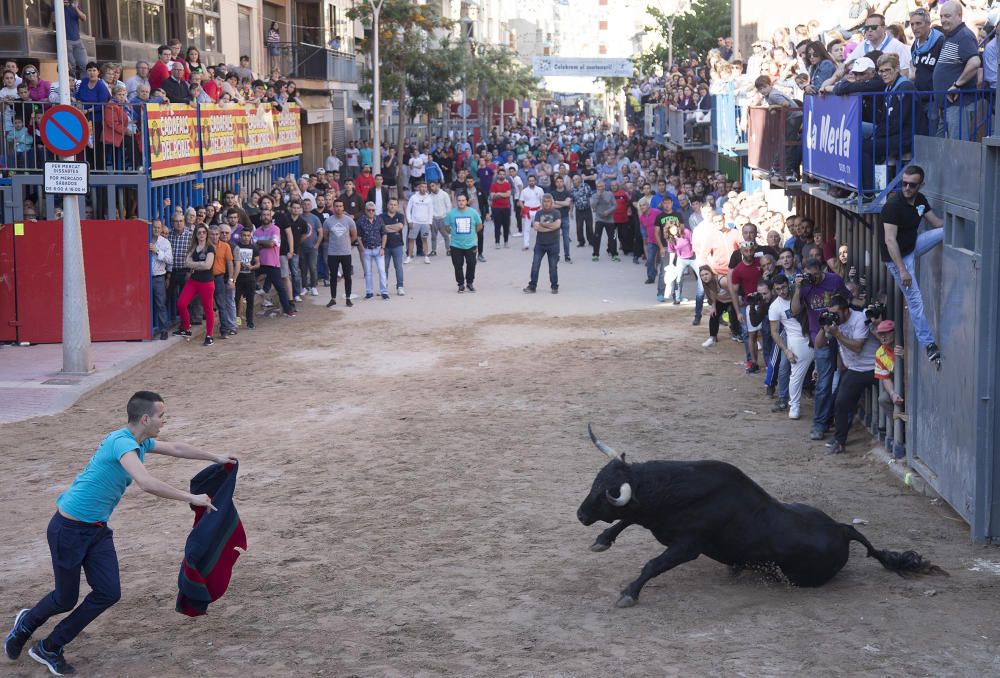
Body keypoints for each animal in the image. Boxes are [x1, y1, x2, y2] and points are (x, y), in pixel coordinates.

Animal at [580, 428, 944, 608]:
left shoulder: (687, 546)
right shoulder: (652, 518)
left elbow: (652, 564)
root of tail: (842, 530)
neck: (675, 491)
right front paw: (601, 541)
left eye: (604, 493)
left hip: (801, 578)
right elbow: (627, 520)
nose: (581, 514)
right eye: (595, 483)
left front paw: (629, 593)